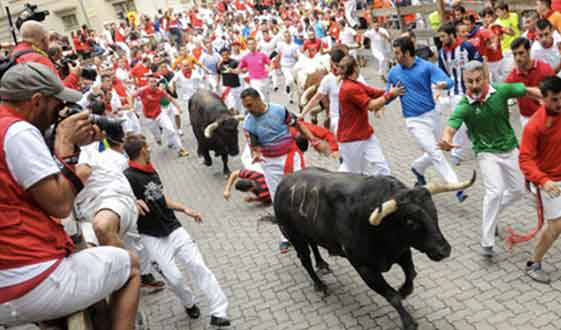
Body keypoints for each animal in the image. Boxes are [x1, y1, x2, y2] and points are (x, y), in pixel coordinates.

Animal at [274, 168, 474, 330]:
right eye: (411, 222)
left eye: (434, 212)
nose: (444, 250)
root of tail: (283, 183)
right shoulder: (364, 267)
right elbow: (391, 295)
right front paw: (408, 321)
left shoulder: (402, 251)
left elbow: (411, 274)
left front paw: (404, 291)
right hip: (294, 236)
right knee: (305, 260)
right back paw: (320, 285)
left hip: (310, 232)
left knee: (314, 245)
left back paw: (322, 264)